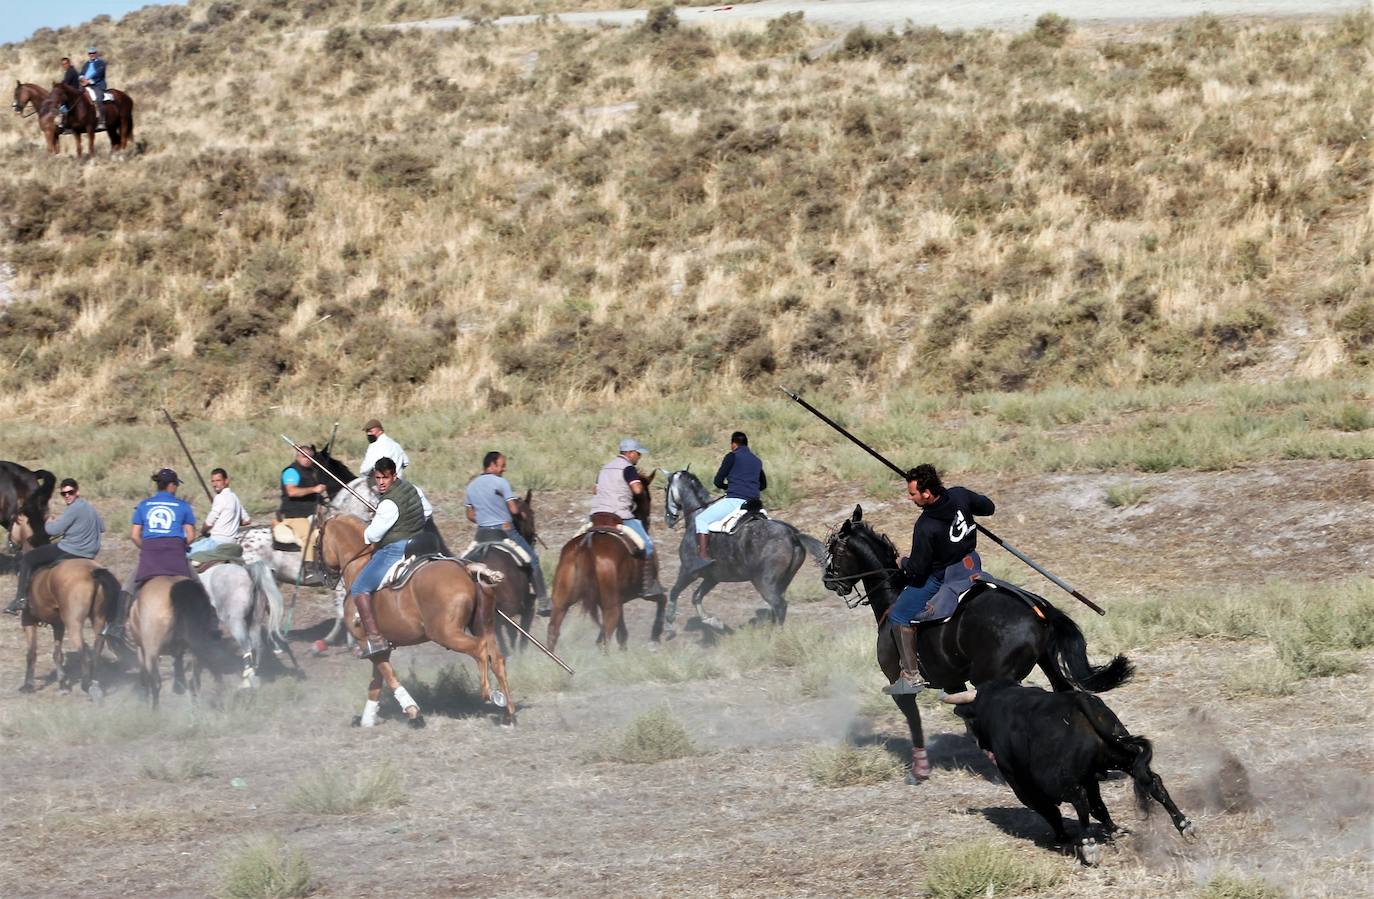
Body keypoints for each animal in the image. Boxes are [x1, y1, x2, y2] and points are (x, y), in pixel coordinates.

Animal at [131, 577, 225, 709]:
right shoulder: (180, 651)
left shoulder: (141, 649)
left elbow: (145, 678)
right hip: (197, 646)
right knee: (196, 680)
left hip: (151, 651)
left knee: (156, 682)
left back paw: (155, 711)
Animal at [340, 538, 513, 731]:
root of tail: (467, 569)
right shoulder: (380, 649)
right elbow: (376, 682)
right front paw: (367, 719)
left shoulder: (367, 643)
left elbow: (388, 676)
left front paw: (413, 713)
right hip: (484, 627)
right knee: (497, 659)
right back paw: (508, 714)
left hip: (446, 634)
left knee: (480, 648)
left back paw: (487, 694)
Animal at [544, 467, 662, 651]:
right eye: (647, 496)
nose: (647, 521)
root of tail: (587, 547)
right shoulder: (641, 593)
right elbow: (662, 600)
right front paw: (658, 634)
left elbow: (622, 634)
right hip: (610, 606)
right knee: (607, 634)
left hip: (561, 602)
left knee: (553, 631)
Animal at [656, 467, 818, 637]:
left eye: (666, 488)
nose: (668, 519)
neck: (696, 517)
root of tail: (792, 535)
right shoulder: (712, 578)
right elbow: (696, 597)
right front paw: (715, 622)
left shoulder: (688, 571)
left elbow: (674, 592)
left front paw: (669, 625)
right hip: (782, 581)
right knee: (777, 606)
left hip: (763, 582)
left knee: (779, 605)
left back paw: (776, 637)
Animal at [818, 511, 1132, 786]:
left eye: (834, 549)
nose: (829, 581)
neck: (892, 597)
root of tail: (1038, 609)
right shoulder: (953, 682)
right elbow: (964, 715)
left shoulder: (899, 686)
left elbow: (915, 722)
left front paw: (919, 771)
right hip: (1045, 662)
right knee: (1066, 693)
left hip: (991, 676)